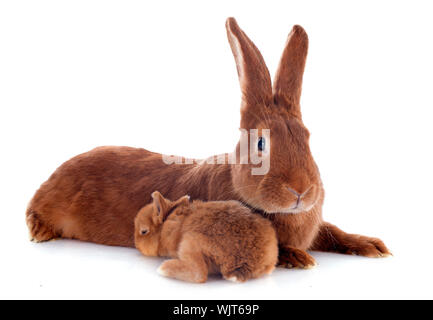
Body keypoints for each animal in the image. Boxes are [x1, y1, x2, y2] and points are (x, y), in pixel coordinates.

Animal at [25, 16, 390, 268]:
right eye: (260, 144)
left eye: (308, 138)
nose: (301, 190)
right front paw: (299, 258)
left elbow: (334, 232)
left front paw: (373, 246)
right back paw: (39, 230)